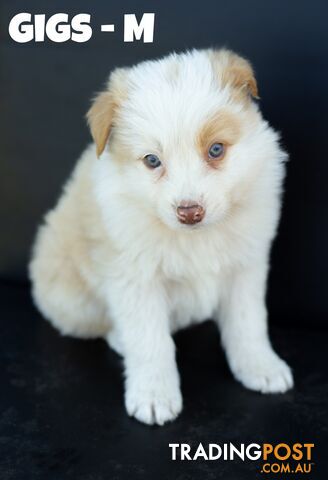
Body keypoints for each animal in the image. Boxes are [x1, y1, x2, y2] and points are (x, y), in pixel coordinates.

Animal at [29, 47, 294, 424]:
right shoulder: (136, 279)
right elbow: (150, 341)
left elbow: (249, 323)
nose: (189, 212)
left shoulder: (247, 266)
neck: (196, 236)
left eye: (216, 150)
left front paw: (261, 368)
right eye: (152, 160)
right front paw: (154, 396)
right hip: (71, 297)